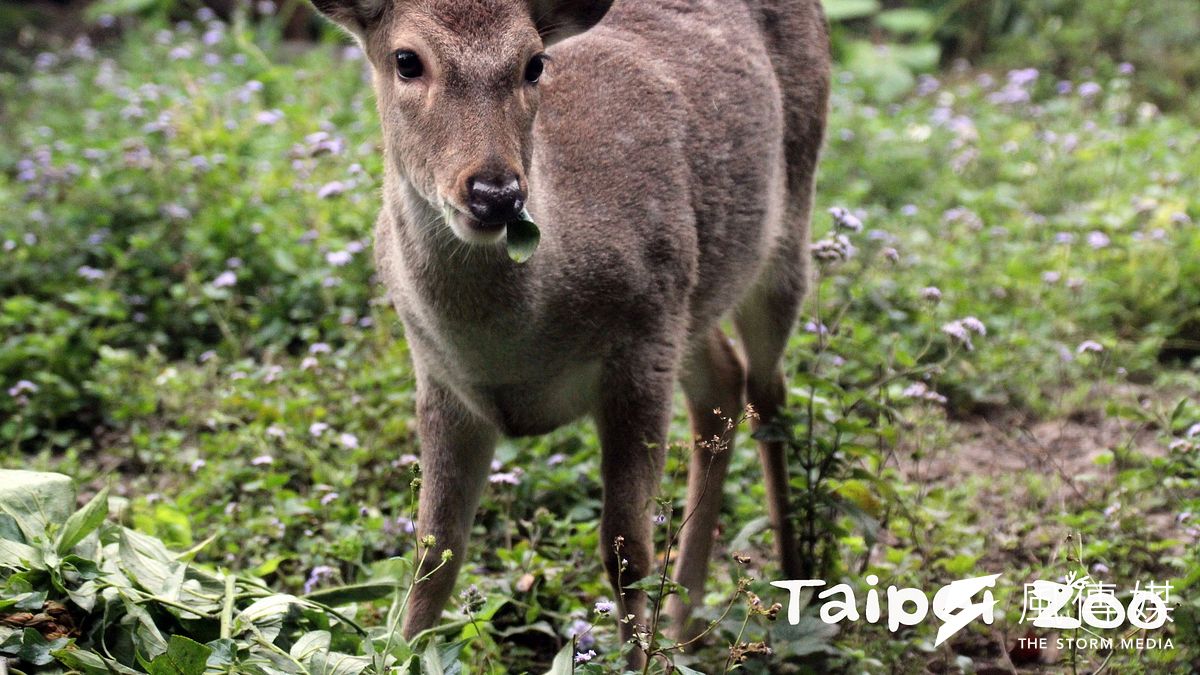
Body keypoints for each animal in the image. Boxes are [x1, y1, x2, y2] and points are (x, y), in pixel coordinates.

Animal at [308, 0, 830, 659]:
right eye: (406, 59)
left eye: (535, 62)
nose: (496, 192)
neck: (510, 350)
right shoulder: (441, 379)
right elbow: (434, 557)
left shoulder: (643, 343)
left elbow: (627, 552)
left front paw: (635, 660)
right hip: (693, 295)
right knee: (722, 383)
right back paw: (685, 627)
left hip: (785, 215)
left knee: (769, 390)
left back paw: (795, 589)